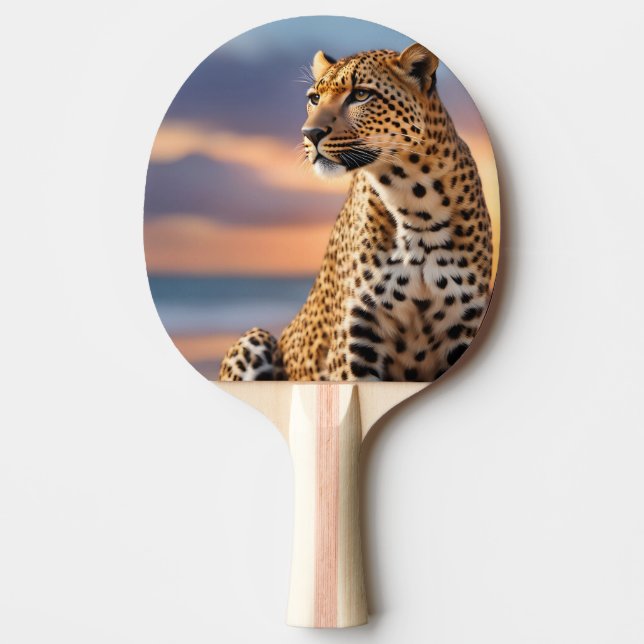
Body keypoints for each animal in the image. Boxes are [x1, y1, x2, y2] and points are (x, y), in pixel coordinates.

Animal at [218, 43, 493, 382]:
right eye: (315, 98)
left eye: (361, 95)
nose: (310, 133)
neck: (416, 204)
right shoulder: (354, 346)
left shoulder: (464, 329)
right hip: (254, 338)